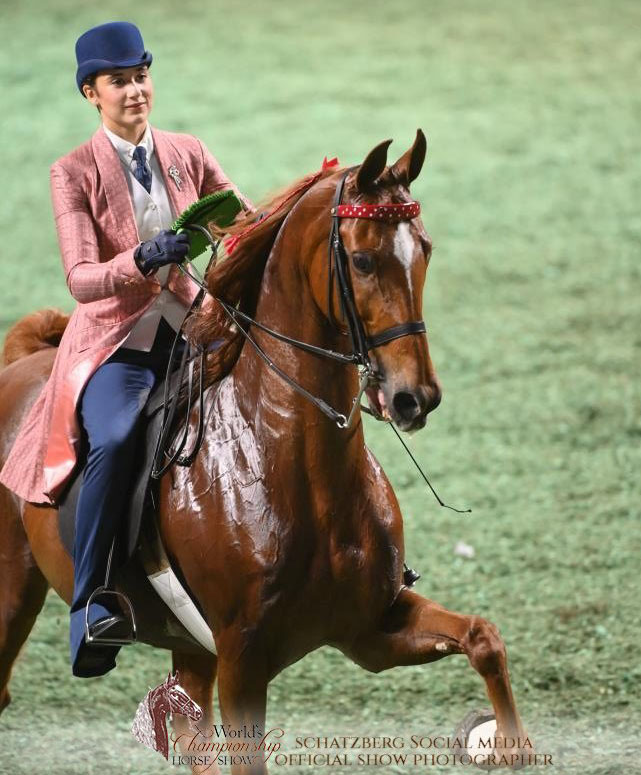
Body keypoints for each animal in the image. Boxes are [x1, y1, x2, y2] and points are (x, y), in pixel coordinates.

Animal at [0, 130, 530, 773]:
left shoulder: (370, 629)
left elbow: (484, 639)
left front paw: (508, 744)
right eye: (362, 260)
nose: (413, 397)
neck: (290, 467)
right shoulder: (243, 663)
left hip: (191, 651)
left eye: (425, 250)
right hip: (14, 593)